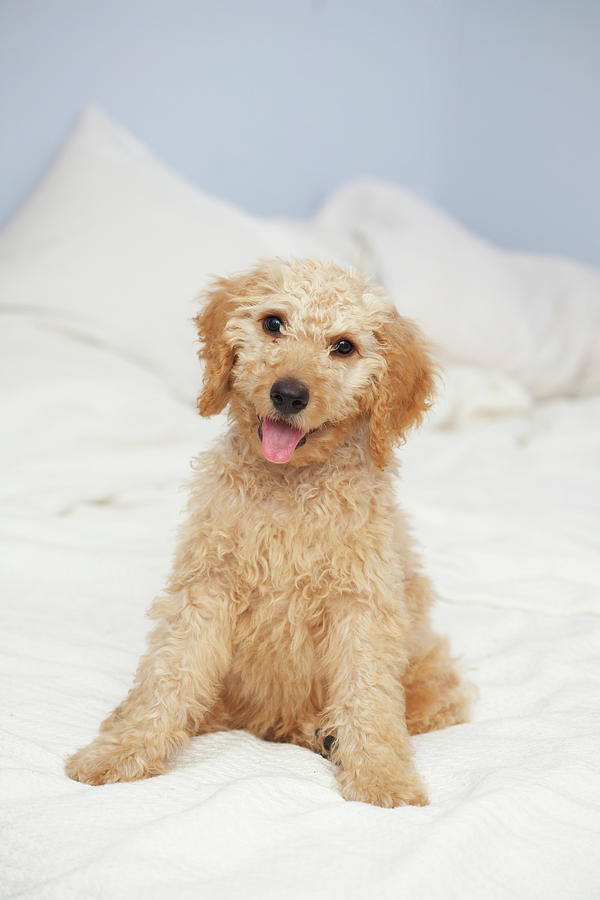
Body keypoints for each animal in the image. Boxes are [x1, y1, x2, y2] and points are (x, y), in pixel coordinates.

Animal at [64, 256, 468, 804]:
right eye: (273, 323)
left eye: (344, 346)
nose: (289, 394)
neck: (288, 488)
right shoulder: (207, 585)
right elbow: (169, 674)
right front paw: (124, 748)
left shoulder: (362, 605)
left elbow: (368, 695)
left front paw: (383, 778)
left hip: (434, 676)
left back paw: (326, 734)